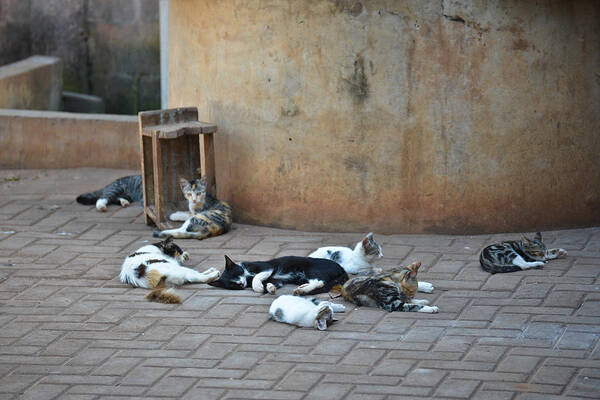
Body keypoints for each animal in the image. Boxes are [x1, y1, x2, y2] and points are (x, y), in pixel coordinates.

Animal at [207, 255, 350, 296]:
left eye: (236, 274)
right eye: (232, 285)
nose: (241, 284)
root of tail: (342, 269)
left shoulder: (267, 267)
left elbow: (257, 278)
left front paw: (258, 286)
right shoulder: (276, 280)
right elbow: (271, 283)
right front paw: (270, 288)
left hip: (312, 269)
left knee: (319, 282)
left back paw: (301, 290)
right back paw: (302, 288)